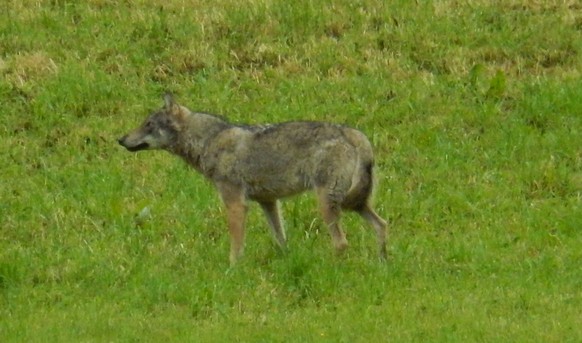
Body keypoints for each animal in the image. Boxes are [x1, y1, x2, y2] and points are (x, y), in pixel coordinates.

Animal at [119, 94, 390, 266]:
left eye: (148, 124)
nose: (120, 139)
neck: (209, 141)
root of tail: (355, 135)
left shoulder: (236, 203)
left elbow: (236, 245)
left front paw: (232, 270)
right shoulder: (268, 202)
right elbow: (280, 239)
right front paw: (286, 263)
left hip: (328, 204)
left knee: (342, 243)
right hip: (355, 204)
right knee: (382, 225)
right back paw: (382, 264)